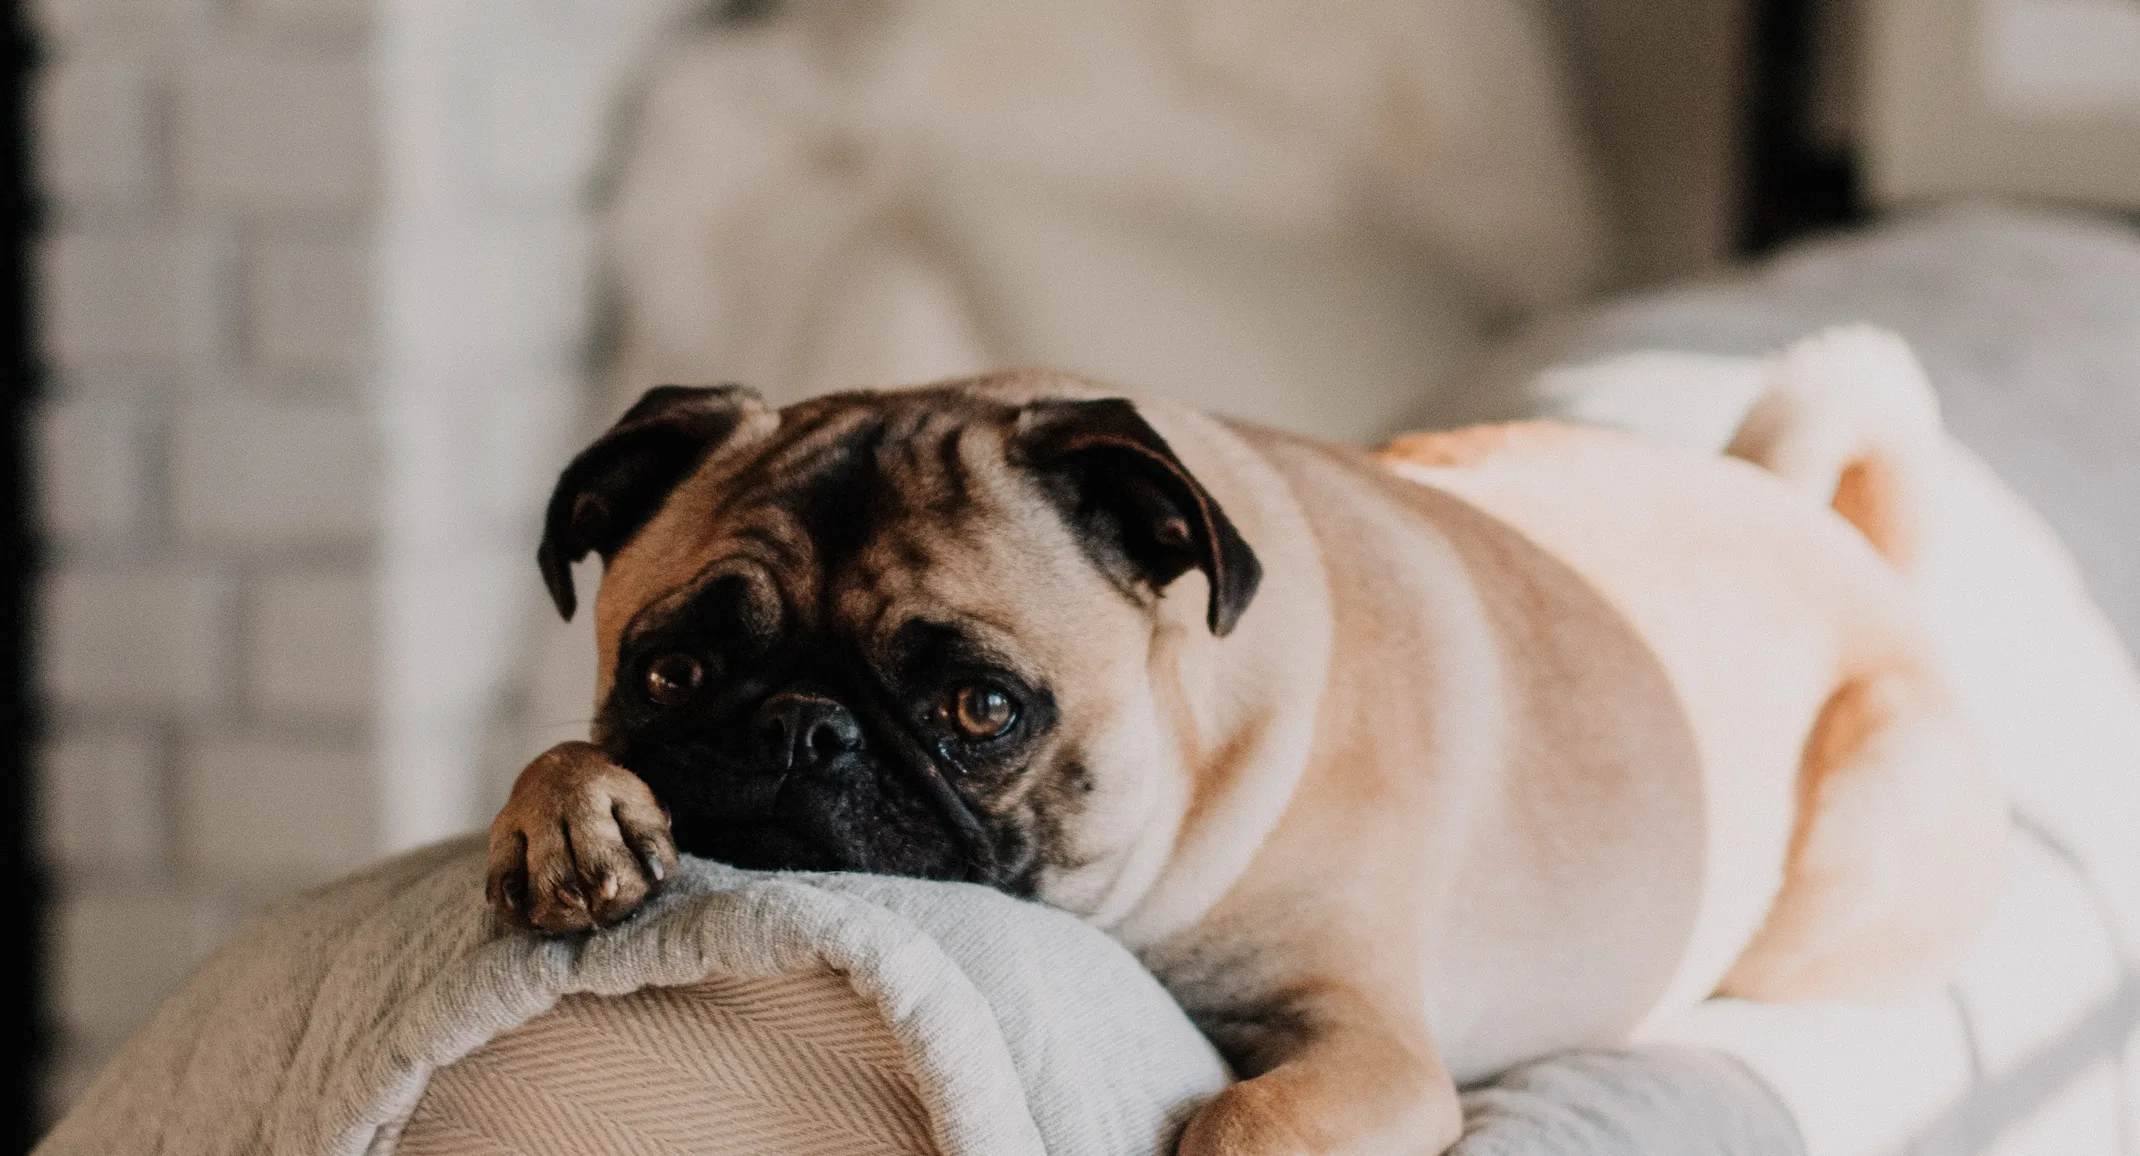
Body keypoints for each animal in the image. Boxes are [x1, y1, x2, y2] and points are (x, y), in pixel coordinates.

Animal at [485, 327, 2003, 1156]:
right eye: (672, 669)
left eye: (983, 710)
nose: (807, 731)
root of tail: (1820, 526)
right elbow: (559, 764)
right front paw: (568, 810)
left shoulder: (1371, 1049)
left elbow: (1246, 1113)